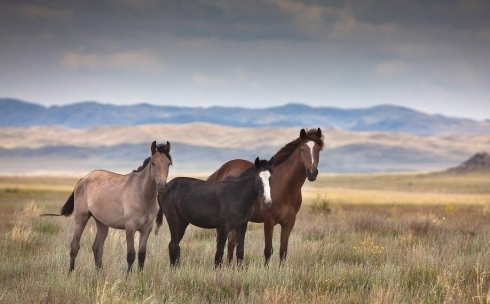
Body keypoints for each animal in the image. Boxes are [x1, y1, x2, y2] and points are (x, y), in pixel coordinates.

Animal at [42, 141, 172, 274]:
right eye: (153, 163)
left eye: (168, 163)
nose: (162, 186)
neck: (142, 195)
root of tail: (83, 179)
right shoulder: (130, 227)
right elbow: (131, 254)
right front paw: (128, 277)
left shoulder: (146, 229)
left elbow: (141, 255)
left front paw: (140, 277)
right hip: (81, 218)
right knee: (74, 246)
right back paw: (70, 273)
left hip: (102, 223)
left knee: (97, 247)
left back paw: (99, 274)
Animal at [208, 127, 326, 264]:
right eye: (302, 149)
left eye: (318, 150)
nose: (312, 172)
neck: (284, 186)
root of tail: (220, 171)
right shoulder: (269, 221)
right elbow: (268, 250)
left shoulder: (289, 222)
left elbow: (283, 251)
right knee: (221, 242)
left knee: (231, 243)